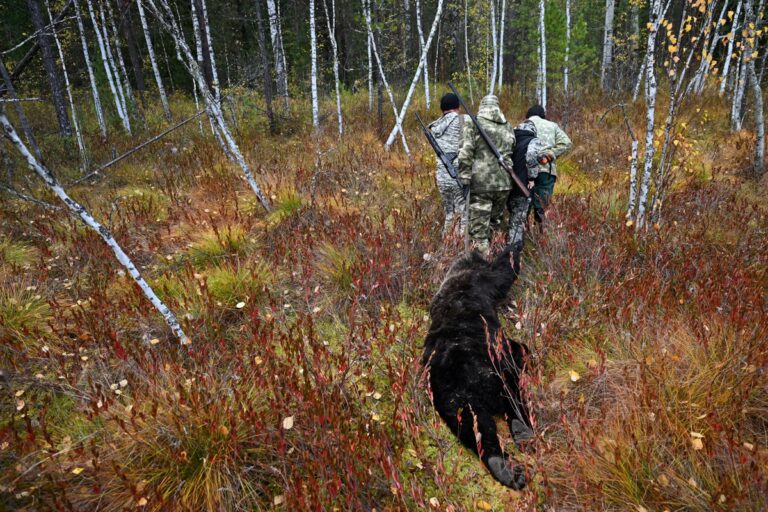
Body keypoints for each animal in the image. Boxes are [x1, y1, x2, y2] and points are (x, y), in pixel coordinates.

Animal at [422, 245, 533, 489]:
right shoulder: (483, 281)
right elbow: (505, 271)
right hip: (491, 369)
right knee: (512, 392)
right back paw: (523, 430)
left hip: (451, 399)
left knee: (477, 430)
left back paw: (506, 468)